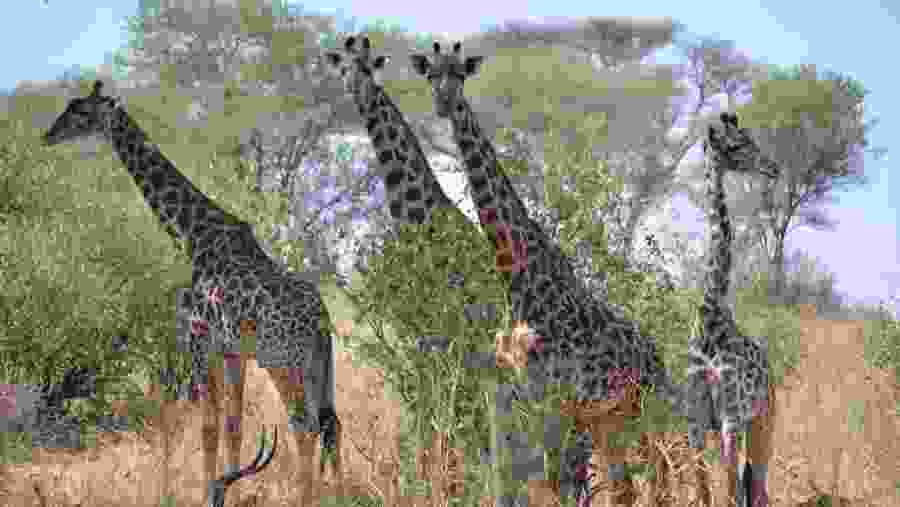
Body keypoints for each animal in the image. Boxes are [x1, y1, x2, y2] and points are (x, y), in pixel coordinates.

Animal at [42, 81, 341, 505]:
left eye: (80, 111)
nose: (48, 135)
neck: (193, 236)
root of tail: (322, 320)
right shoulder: (232, 352)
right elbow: (232, 424)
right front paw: (236, 491)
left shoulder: (198, 339)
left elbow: (208, 426)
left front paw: (208, 492)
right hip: (318, 364)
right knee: (332, 422)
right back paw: (340, 493)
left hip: (284, 362)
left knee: (306, 424)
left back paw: (308, 498)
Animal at [411, 41, 687, 506]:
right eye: (431, 75)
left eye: (460, 74)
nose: (444, 103)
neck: (522, 279)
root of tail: (658, 358)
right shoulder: (536, 399)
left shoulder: (559, 400)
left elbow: (561, 484)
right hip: (611, 420)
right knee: (628, 484)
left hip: (639, 412)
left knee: (653, 475)